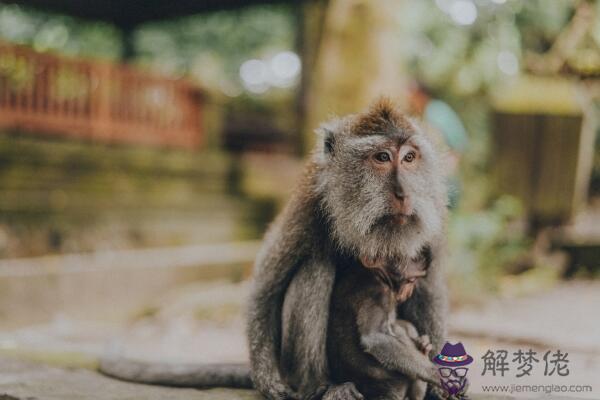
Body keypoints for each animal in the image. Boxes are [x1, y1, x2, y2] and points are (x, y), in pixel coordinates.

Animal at [328, 247, 440, 400]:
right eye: (411, 279)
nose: (409, 291)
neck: (376, 275)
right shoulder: (380, 293)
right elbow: (374, 338)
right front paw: (436, 374)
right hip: (392, 386)